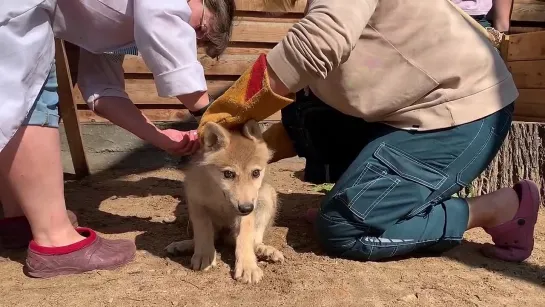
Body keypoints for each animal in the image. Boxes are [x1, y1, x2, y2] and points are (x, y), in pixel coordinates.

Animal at [166, 119, 284, 284]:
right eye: (228, 174)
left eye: (256, 173)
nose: (246, 208)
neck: (220, 195)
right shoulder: (195, 201)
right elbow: (203, 232)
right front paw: (204, 255)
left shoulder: (247, 211)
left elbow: (245, 238)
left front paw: (247, 266)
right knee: (212, 237)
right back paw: (184, 245)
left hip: (266, 196)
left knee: (254, 241)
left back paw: (264, 250)